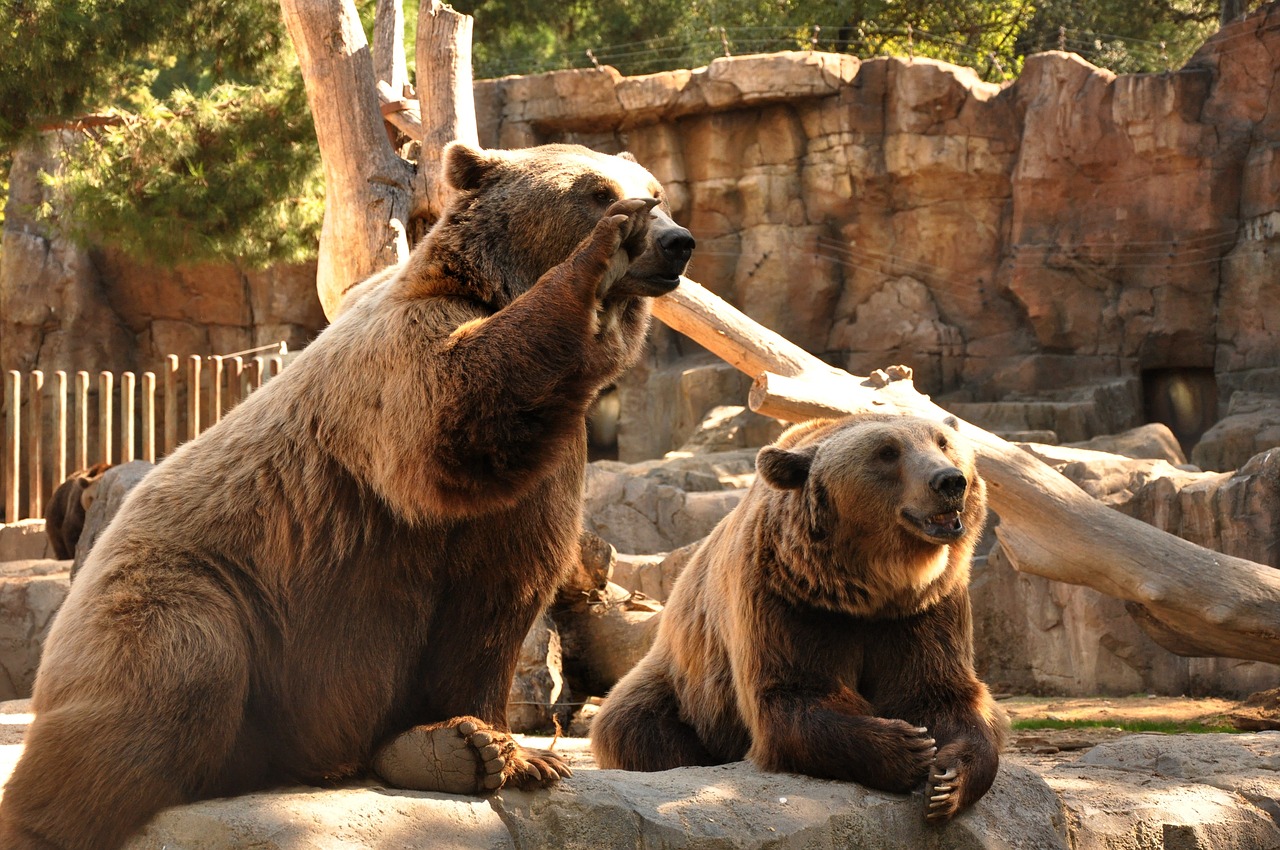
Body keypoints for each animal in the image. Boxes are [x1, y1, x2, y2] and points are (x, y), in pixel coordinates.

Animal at [591, 412, 1008, 824]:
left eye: (942, 443)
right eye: (887, 451)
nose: (950, 480)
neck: (872, 589)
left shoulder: (925, 608)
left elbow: (940, 692)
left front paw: (948, 782)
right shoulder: (788, 599)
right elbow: (794, 694)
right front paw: (907, 747)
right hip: (682, 684)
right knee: (633, 724)